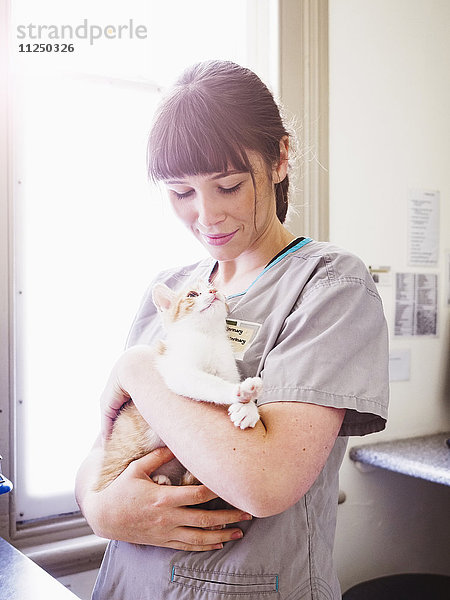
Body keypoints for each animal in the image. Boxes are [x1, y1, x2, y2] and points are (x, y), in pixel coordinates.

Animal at [95, 282, 262, 492]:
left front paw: (248, 409)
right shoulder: (179, 371)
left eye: (214, 289)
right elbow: (211, 384)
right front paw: (240, 392)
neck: (208, 337)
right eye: (192, 294)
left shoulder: (227, 370)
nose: (214, 291)